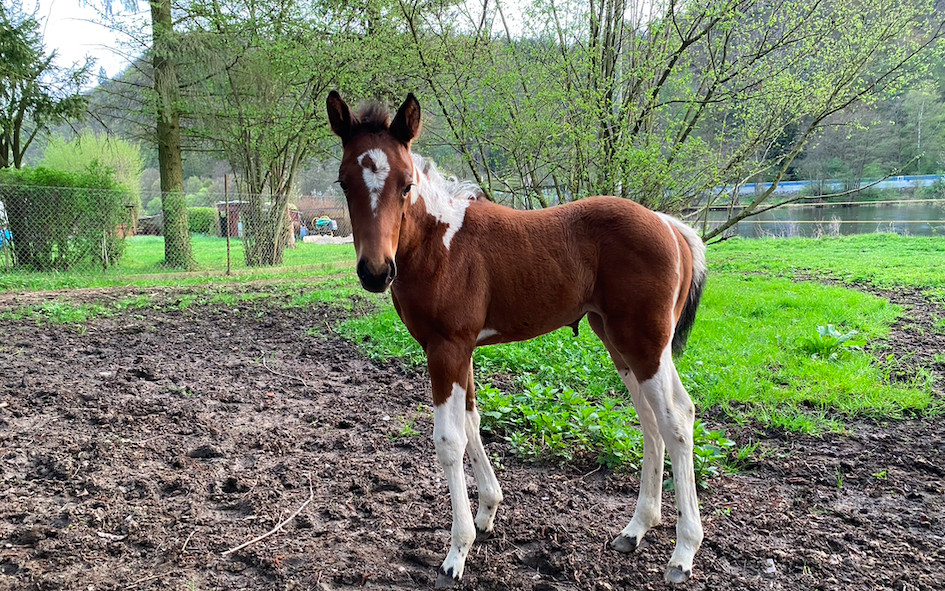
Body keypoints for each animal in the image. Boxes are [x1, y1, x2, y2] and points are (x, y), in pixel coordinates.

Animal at [328, 91, 704, 588]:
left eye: (406, 185)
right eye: (344, 182)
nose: (375, 271)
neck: (438, 243)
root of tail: (669, 225)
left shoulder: (447, 348)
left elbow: (449, 440)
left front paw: (457, 552)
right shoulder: (459, 349)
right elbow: (473, 422)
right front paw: (487, 514)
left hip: (646, 342)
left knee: (676, 418)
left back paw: (683, 553)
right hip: (618, 340)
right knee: (650, 419)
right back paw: (636, 529)